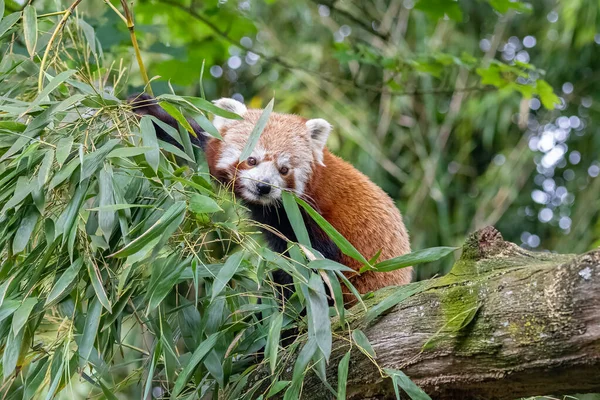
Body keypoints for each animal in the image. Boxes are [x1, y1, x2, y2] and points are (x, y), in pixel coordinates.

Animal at [130, 94, 412, 302]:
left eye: (284, 169)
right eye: (252, 160)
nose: (263, 187)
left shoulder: (316, 220)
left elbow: (319, 269)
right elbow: (192, 141)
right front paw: (147, 108)